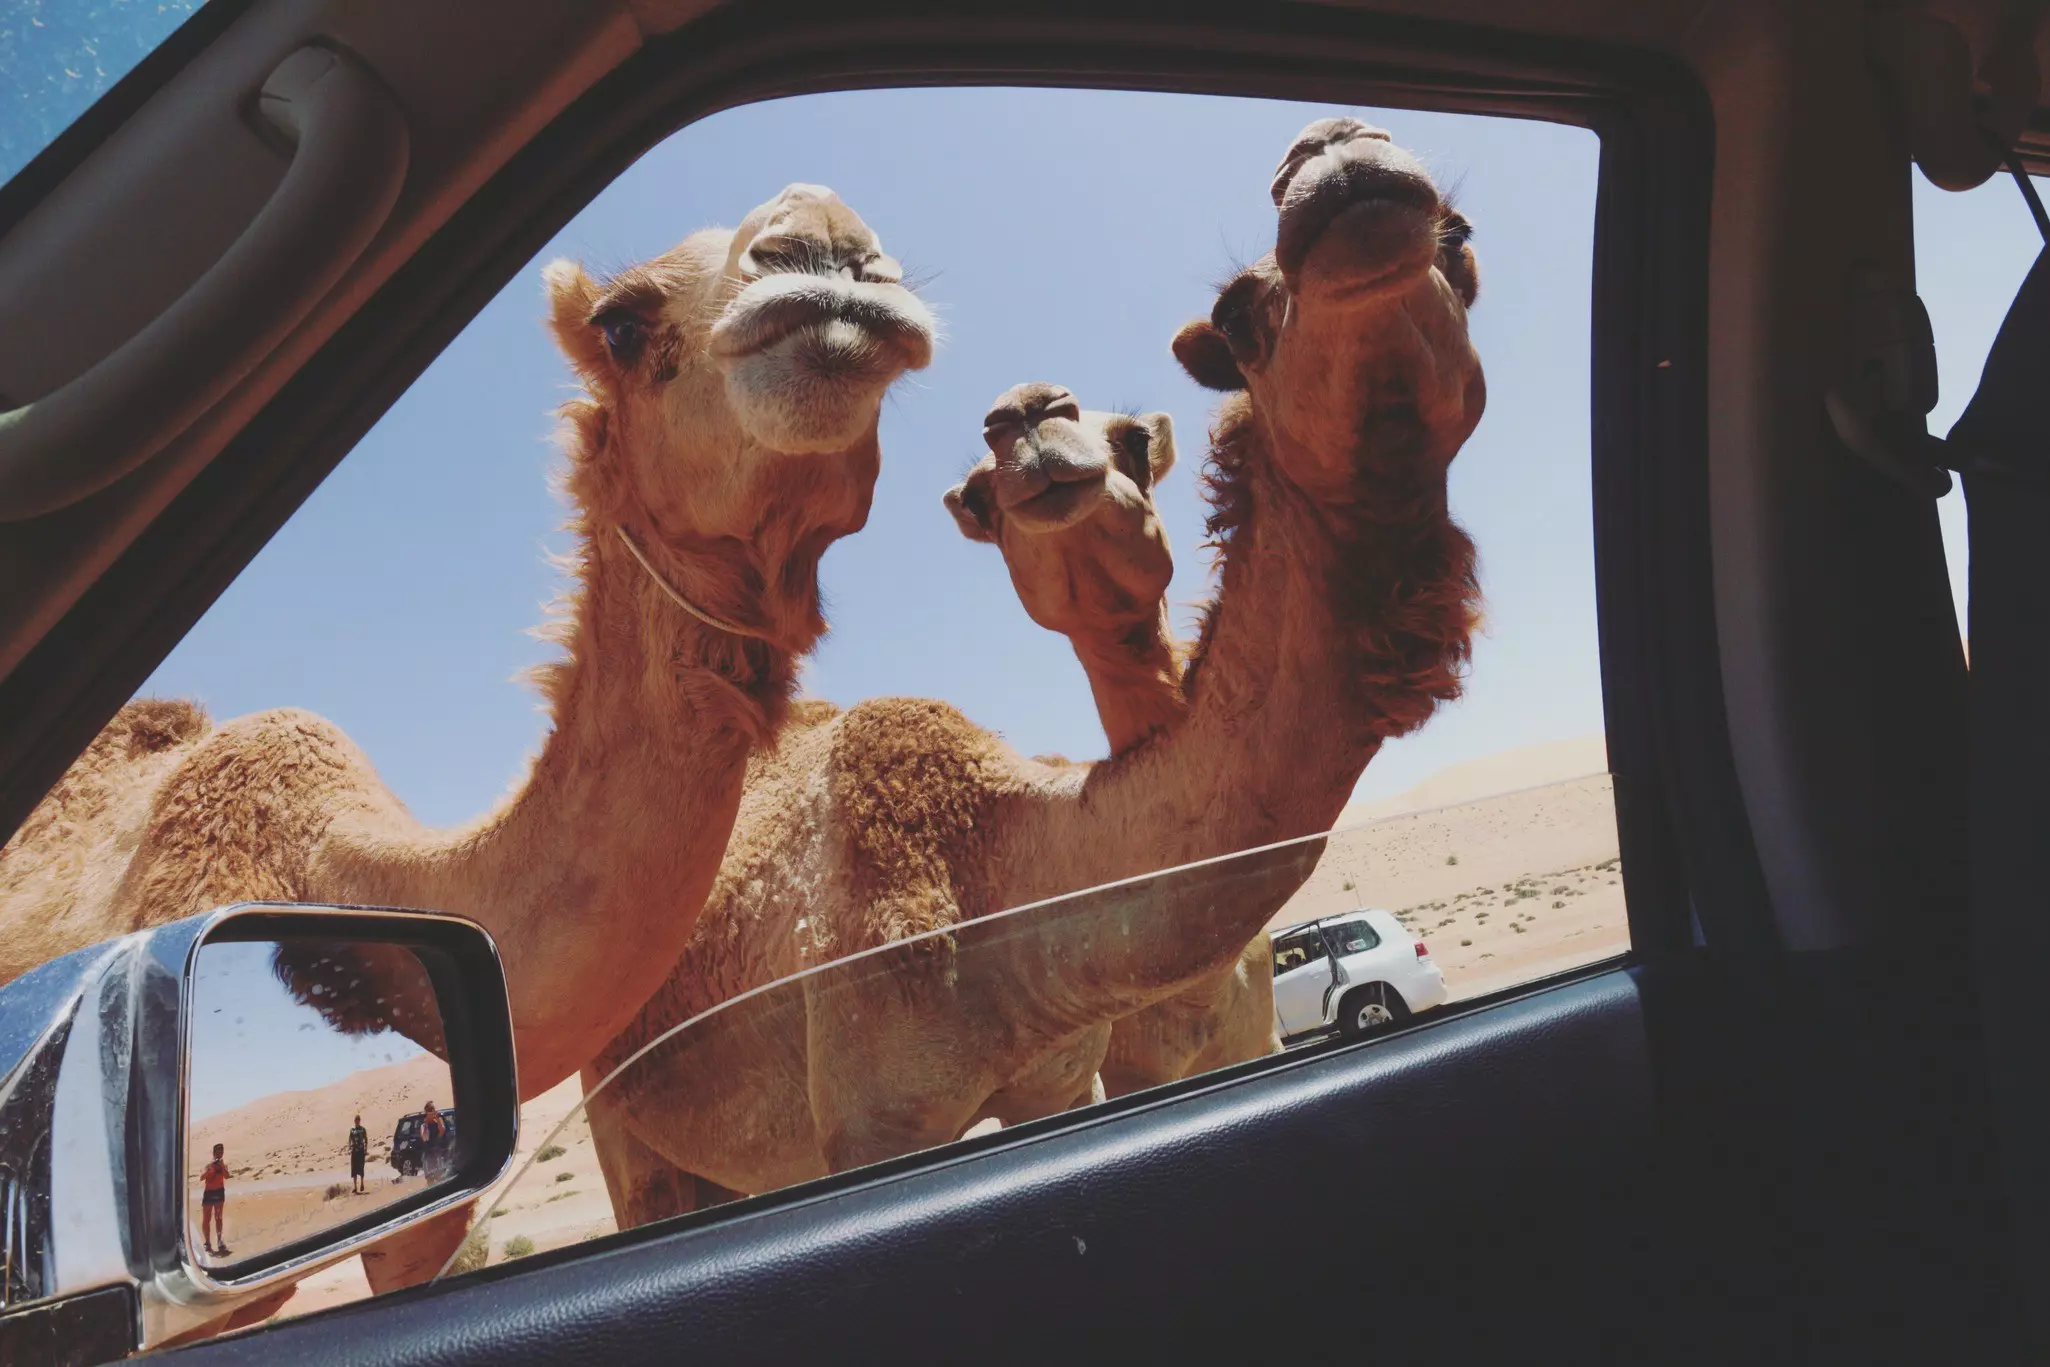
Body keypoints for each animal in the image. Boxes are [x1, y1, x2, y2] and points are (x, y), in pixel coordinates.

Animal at [578, 117, 1484, 1231]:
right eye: (1237, 312)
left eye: (1460, 240)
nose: (1339, 156)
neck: (998, 871)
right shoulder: (876, 1115)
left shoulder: (1062, 1075)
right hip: (626, 1126)